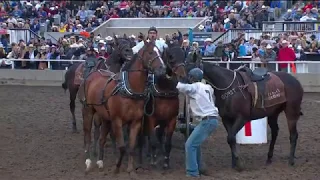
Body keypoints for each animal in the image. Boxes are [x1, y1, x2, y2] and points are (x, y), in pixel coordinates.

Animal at [79, 39, 168, 174]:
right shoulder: (117, 121)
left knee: (102, 139)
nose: (163, 69)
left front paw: (130, 169)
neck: (129, 89)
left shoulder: (136, 122)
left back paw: (100, 161)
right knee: (88, 135)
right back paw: (88, 162)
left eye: (160, 51)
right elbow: (121, 147)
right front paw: (117, 167)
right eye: (151, 52)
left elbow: (130, 147)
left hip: (105, 117)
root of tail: (93, 73)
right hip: (88, 110)